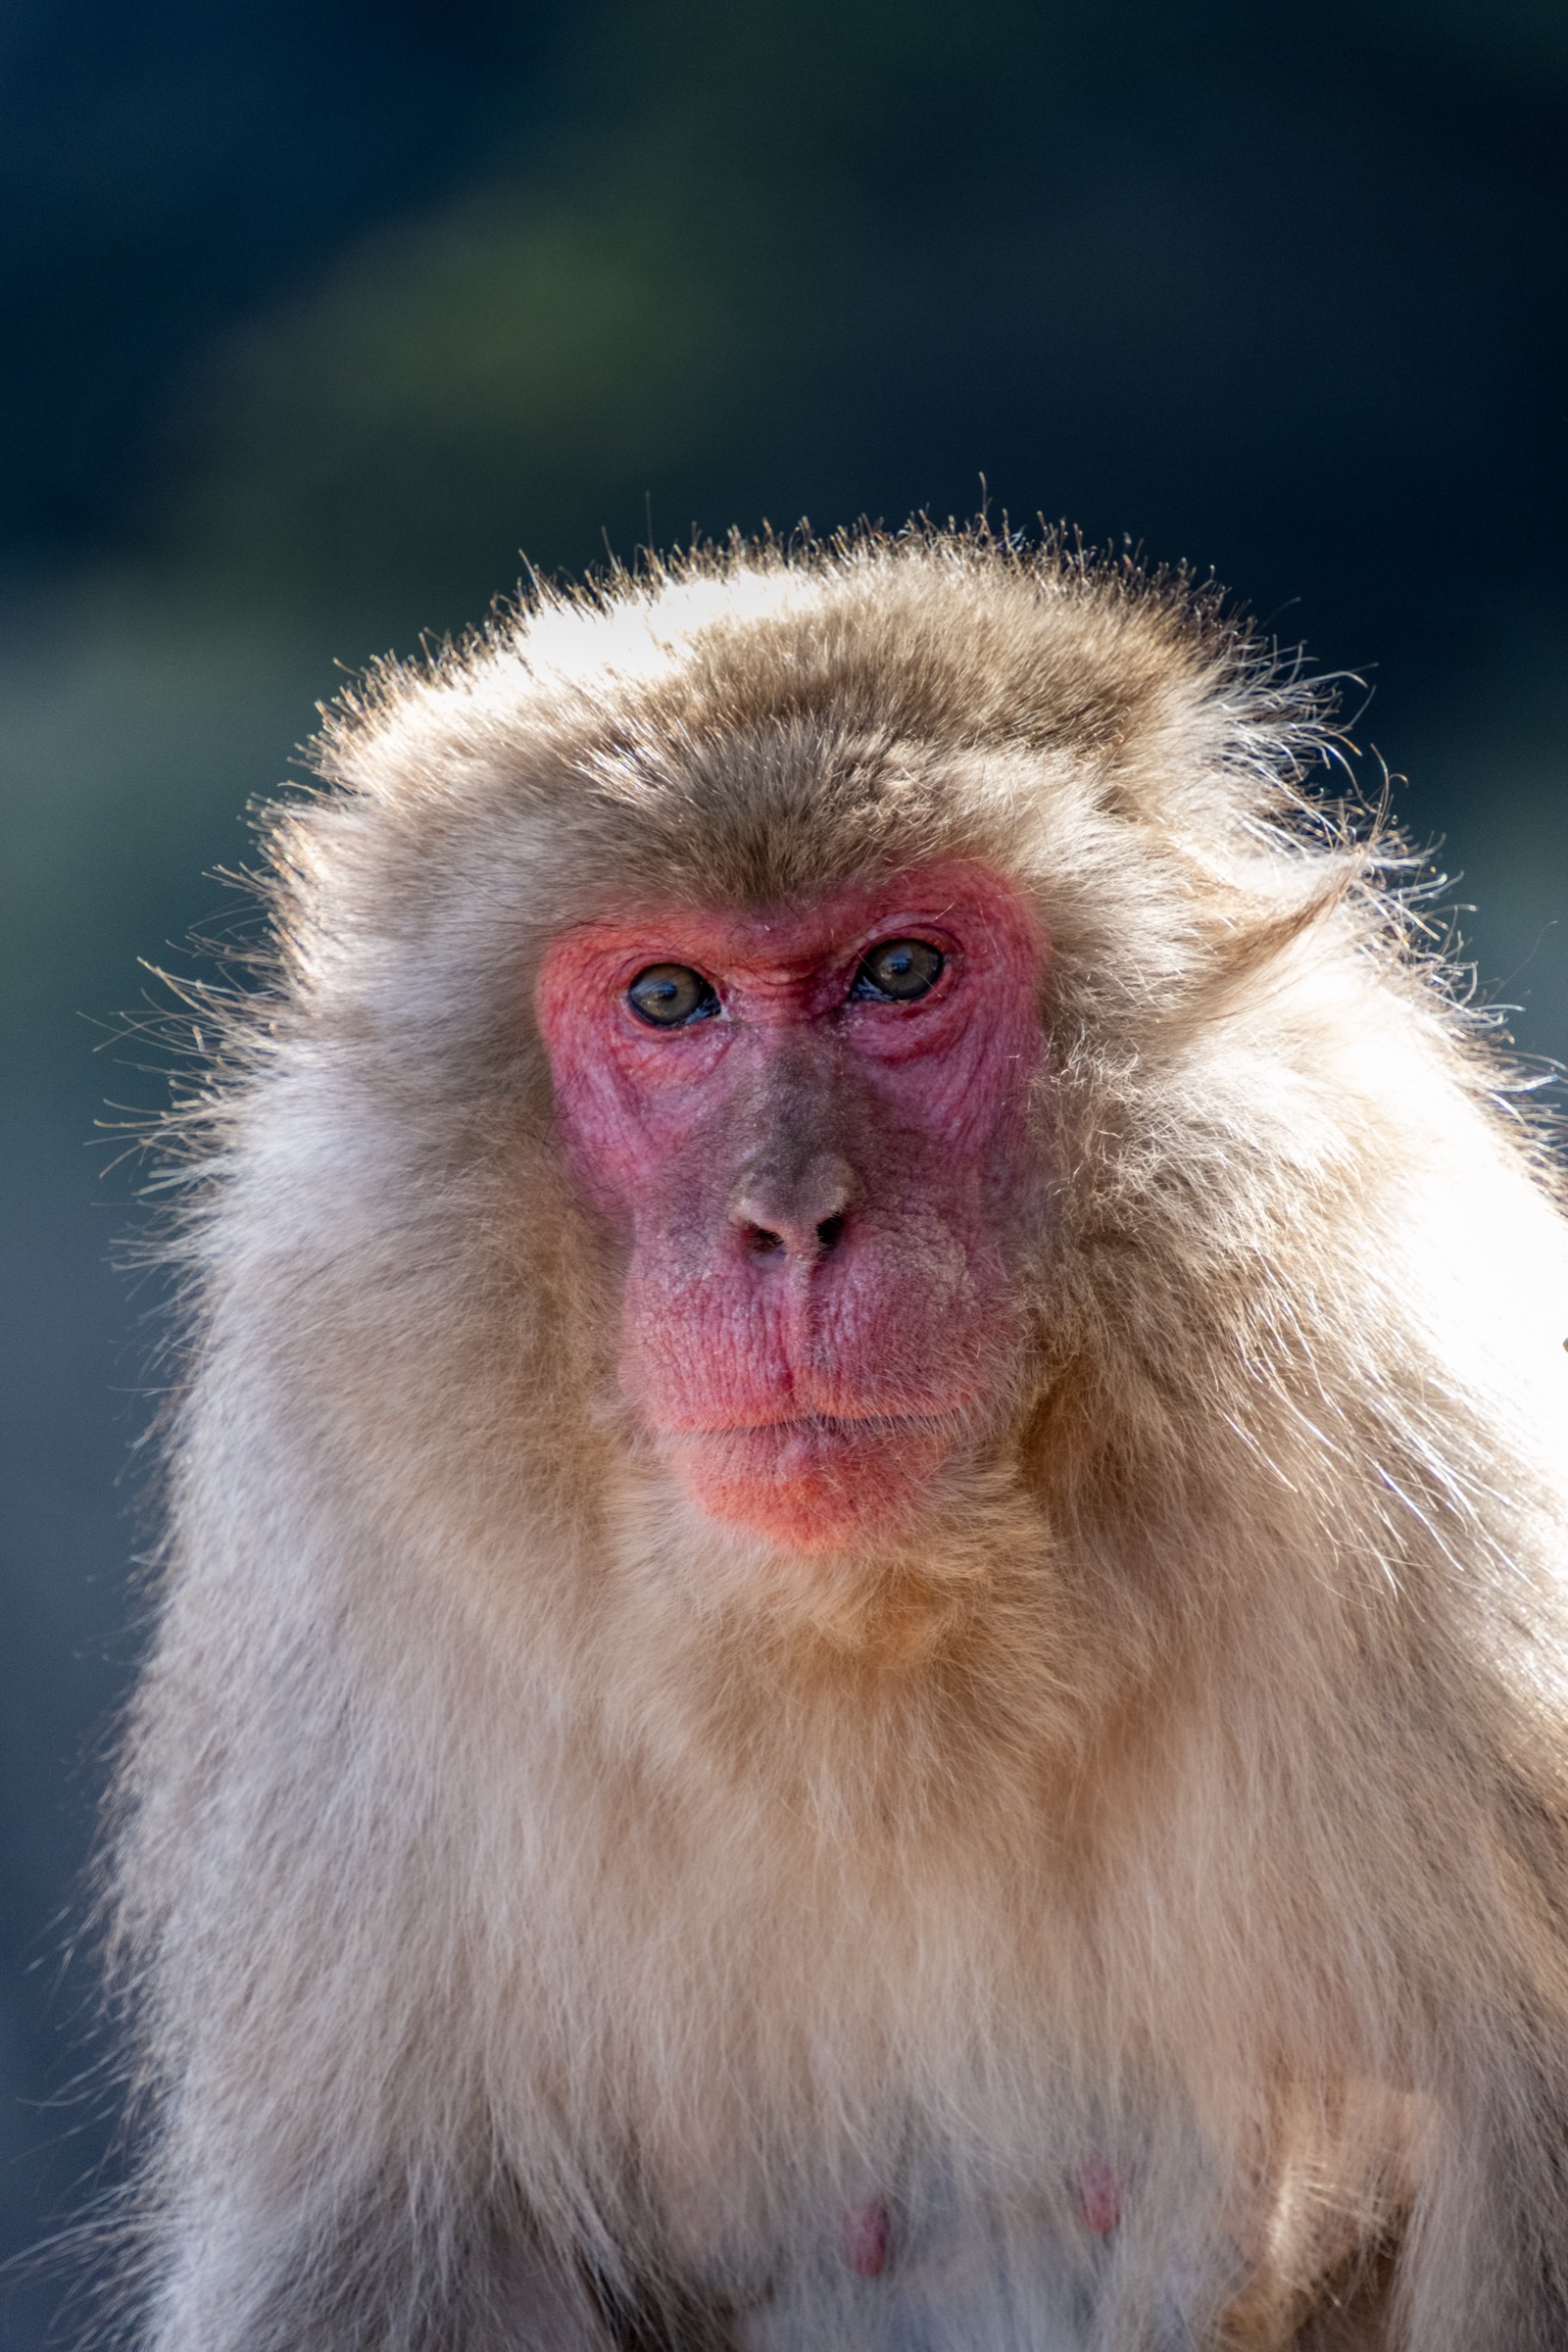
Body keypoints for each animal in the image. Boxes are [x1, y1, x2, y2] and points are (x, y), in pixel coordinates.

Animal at [103, 526, 1568, 2352]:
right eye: (671, 996)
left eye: (900, 975)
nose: (789, 1219)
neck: (891, 1664)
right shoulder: (339, 1615)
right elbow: (373, 2254)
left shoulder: (1439, 1492)